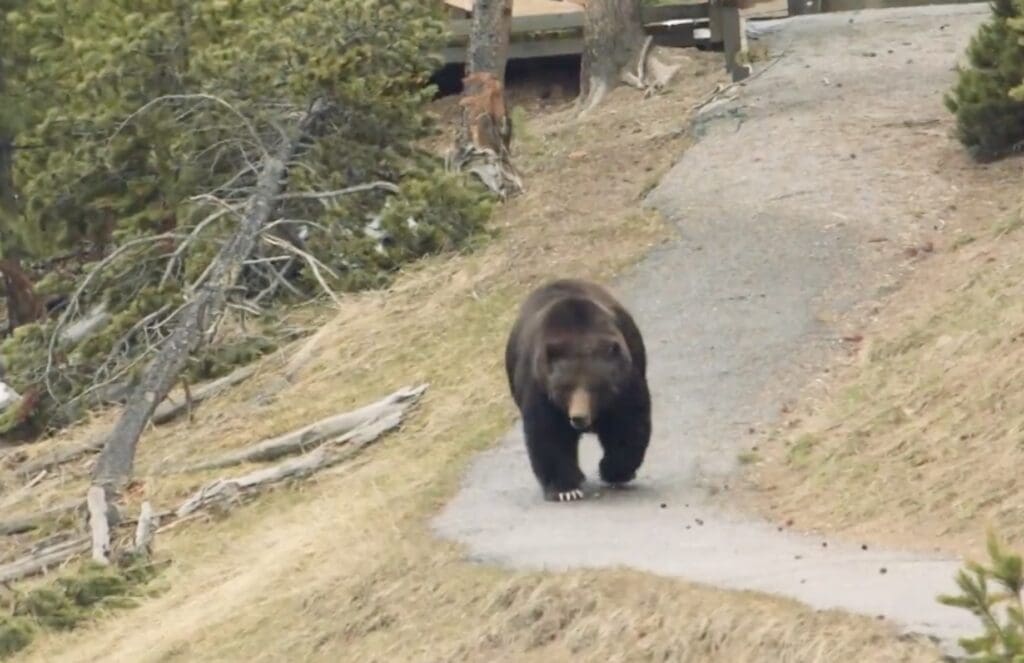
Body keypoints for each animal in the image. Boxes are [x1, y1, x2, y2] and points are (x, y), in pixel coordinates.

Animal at [504, 278, 652, 502]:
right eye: (565, 387)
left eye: (597, 386)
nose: (578, 417)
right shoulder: (540, 388)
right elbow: (548, 433)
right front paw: (566, 489)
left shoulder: (625, 383)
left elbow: (628, 424)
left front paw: (614, 470)